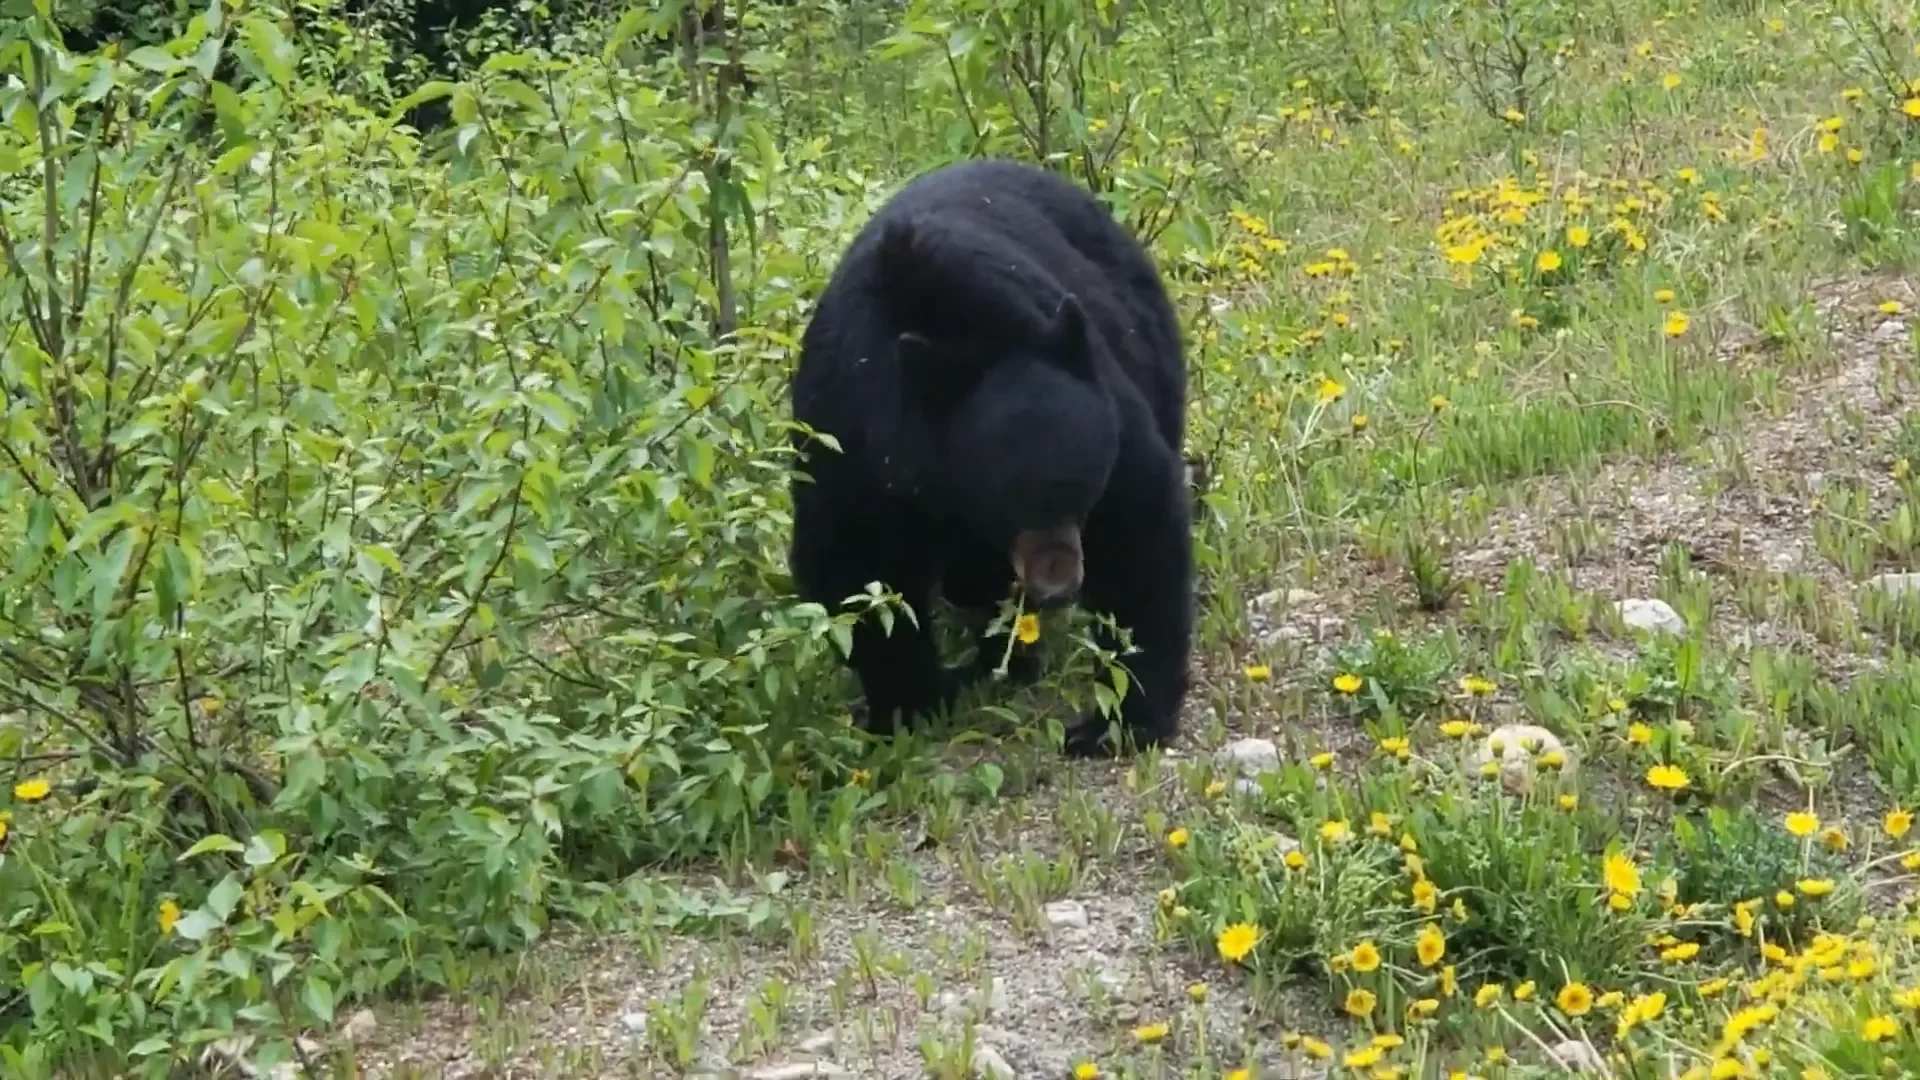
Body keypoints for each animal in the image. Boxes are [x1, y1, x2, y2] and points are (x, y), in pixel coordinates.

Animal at [787, 158, 1192, 758]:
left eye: (1082, 487)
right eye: (1009, 500)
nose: (1059, 584)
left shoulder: (1104, 402)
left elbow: (1137, 523)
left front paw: (1119, 721)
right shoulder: (848, 435)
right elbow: (856, 566)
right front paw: (909, 706)